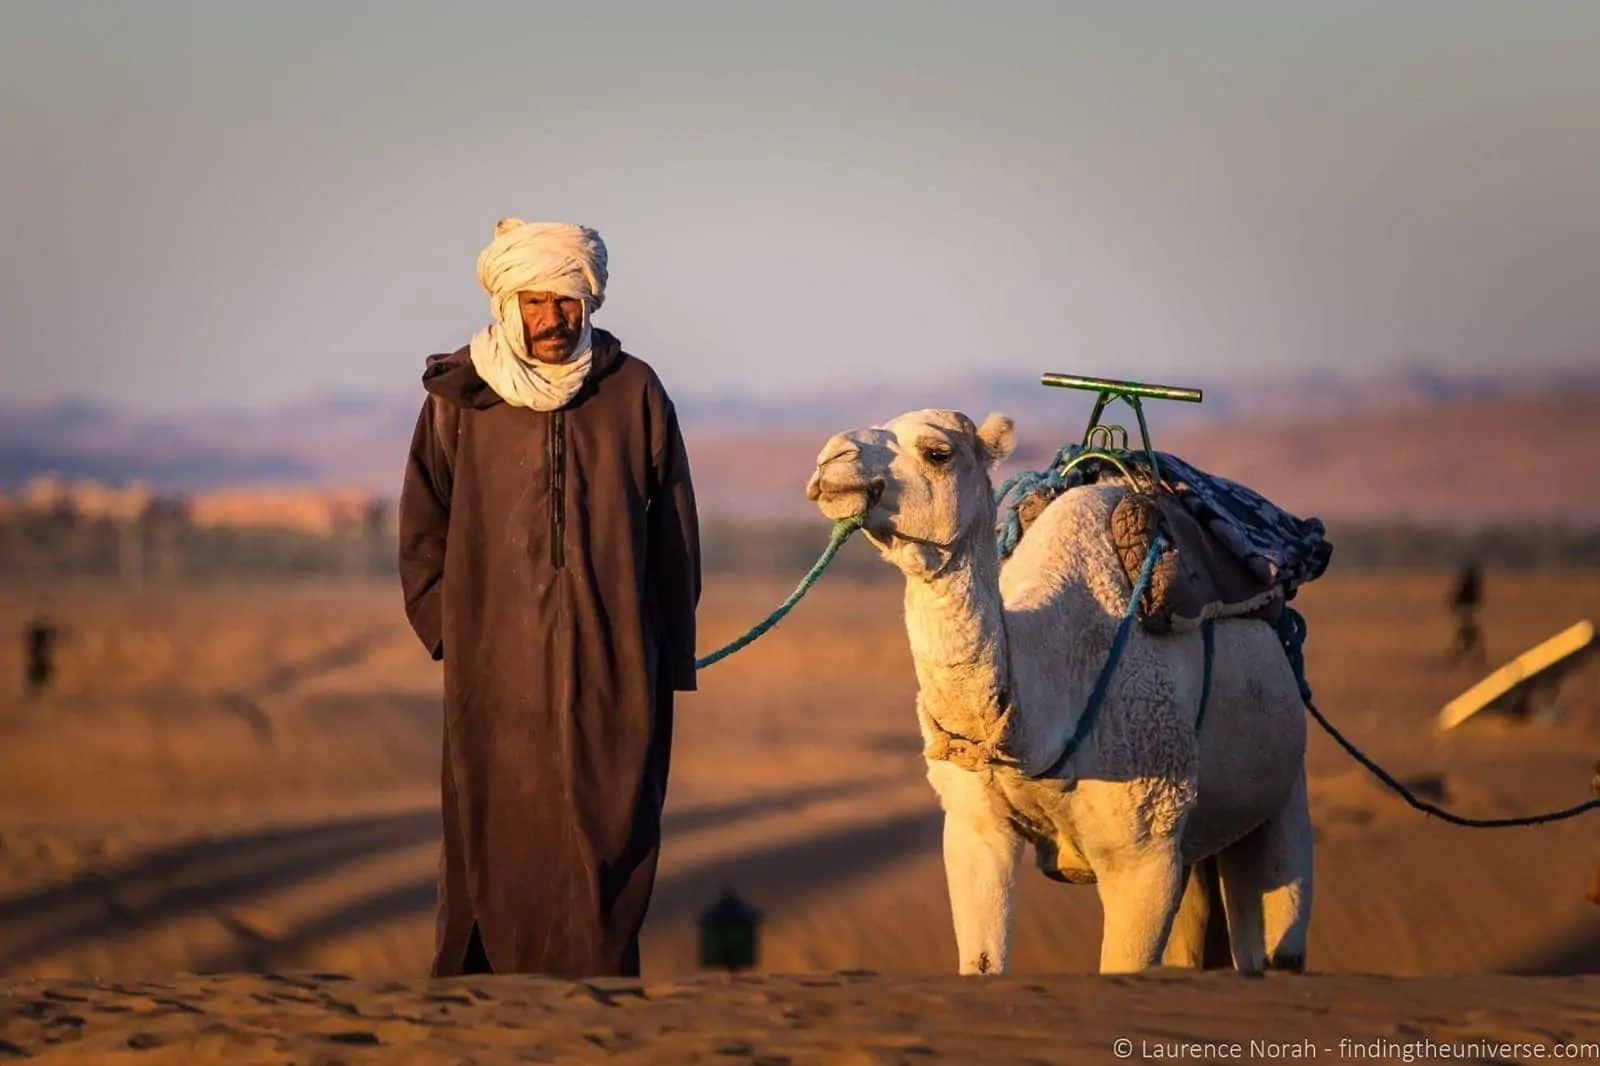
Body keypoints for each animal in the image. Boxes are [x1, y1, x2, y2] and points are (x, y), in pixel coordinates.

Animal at [804, 409, 1314, 975]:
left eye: (938, 452)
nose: (831, 460)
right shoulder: (974, 827)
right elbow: (982, 959)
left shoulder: (1146, 848)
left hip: (1285, 785)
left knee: (1276, 935)